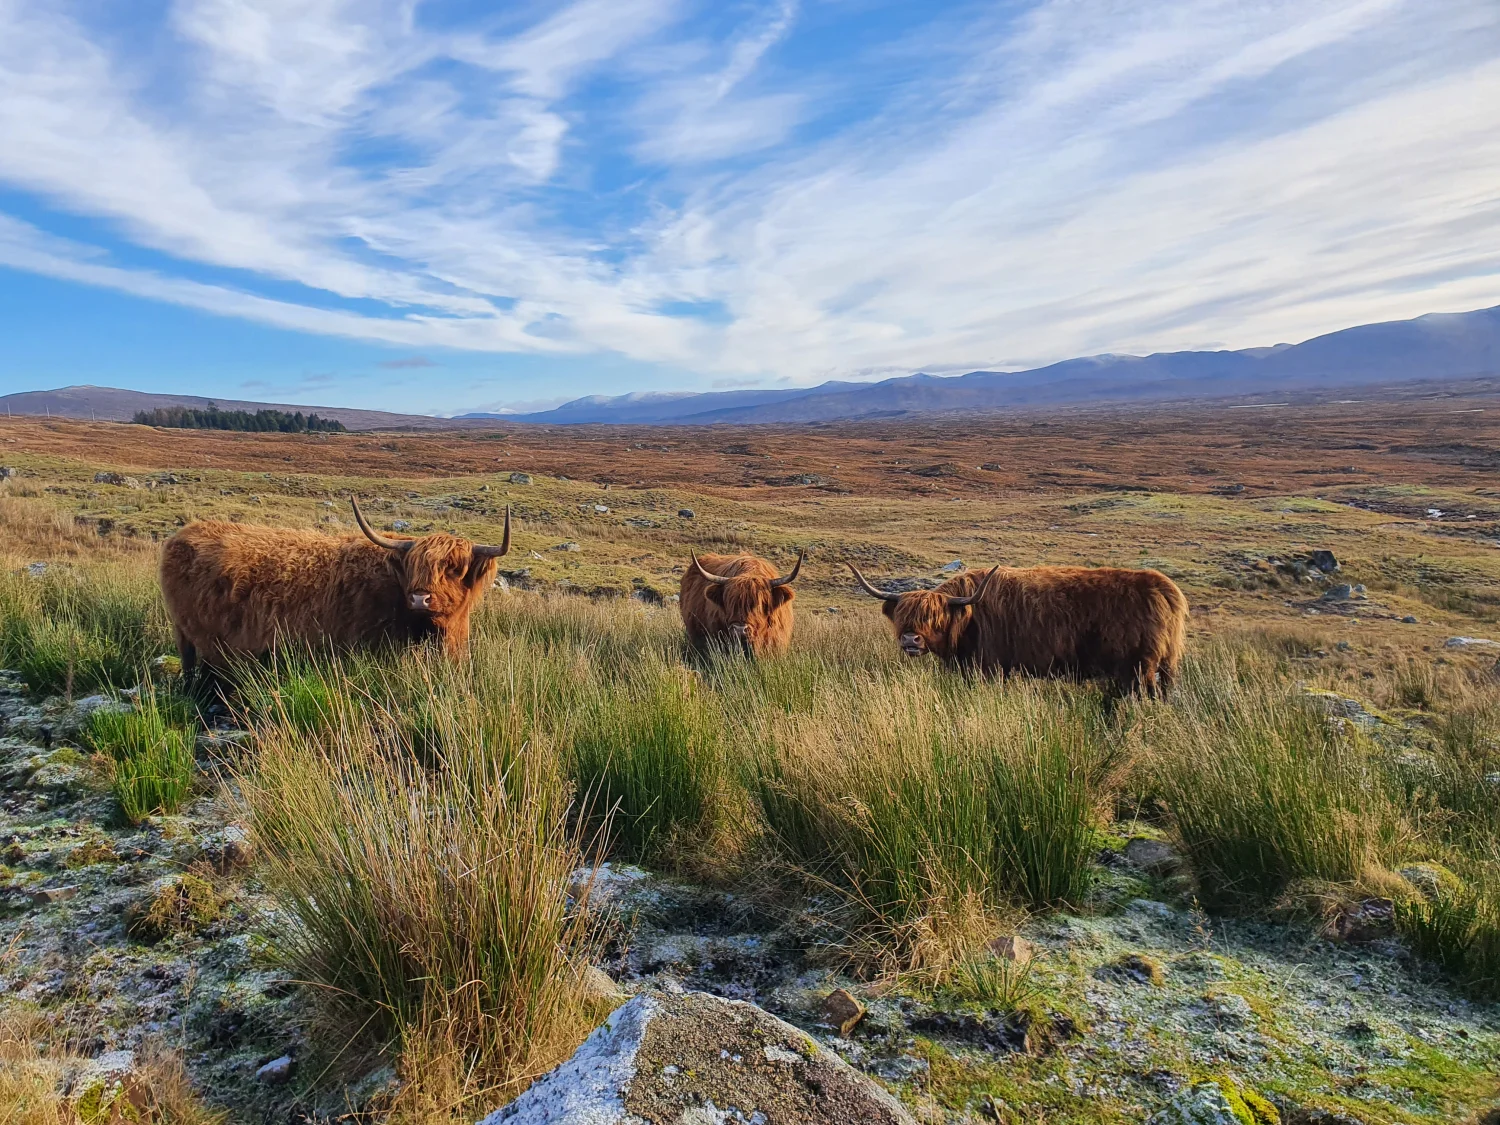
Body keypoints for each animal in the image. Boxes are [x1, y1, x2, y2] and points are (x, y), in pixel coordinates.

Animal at [848, 561, 1187, 695]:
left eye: (934, 617)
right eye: (902, 617)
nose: (910, 640)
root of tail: (1166, 589)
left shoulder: (989, 669)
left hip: (1138, 670)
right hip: (1158, 668)